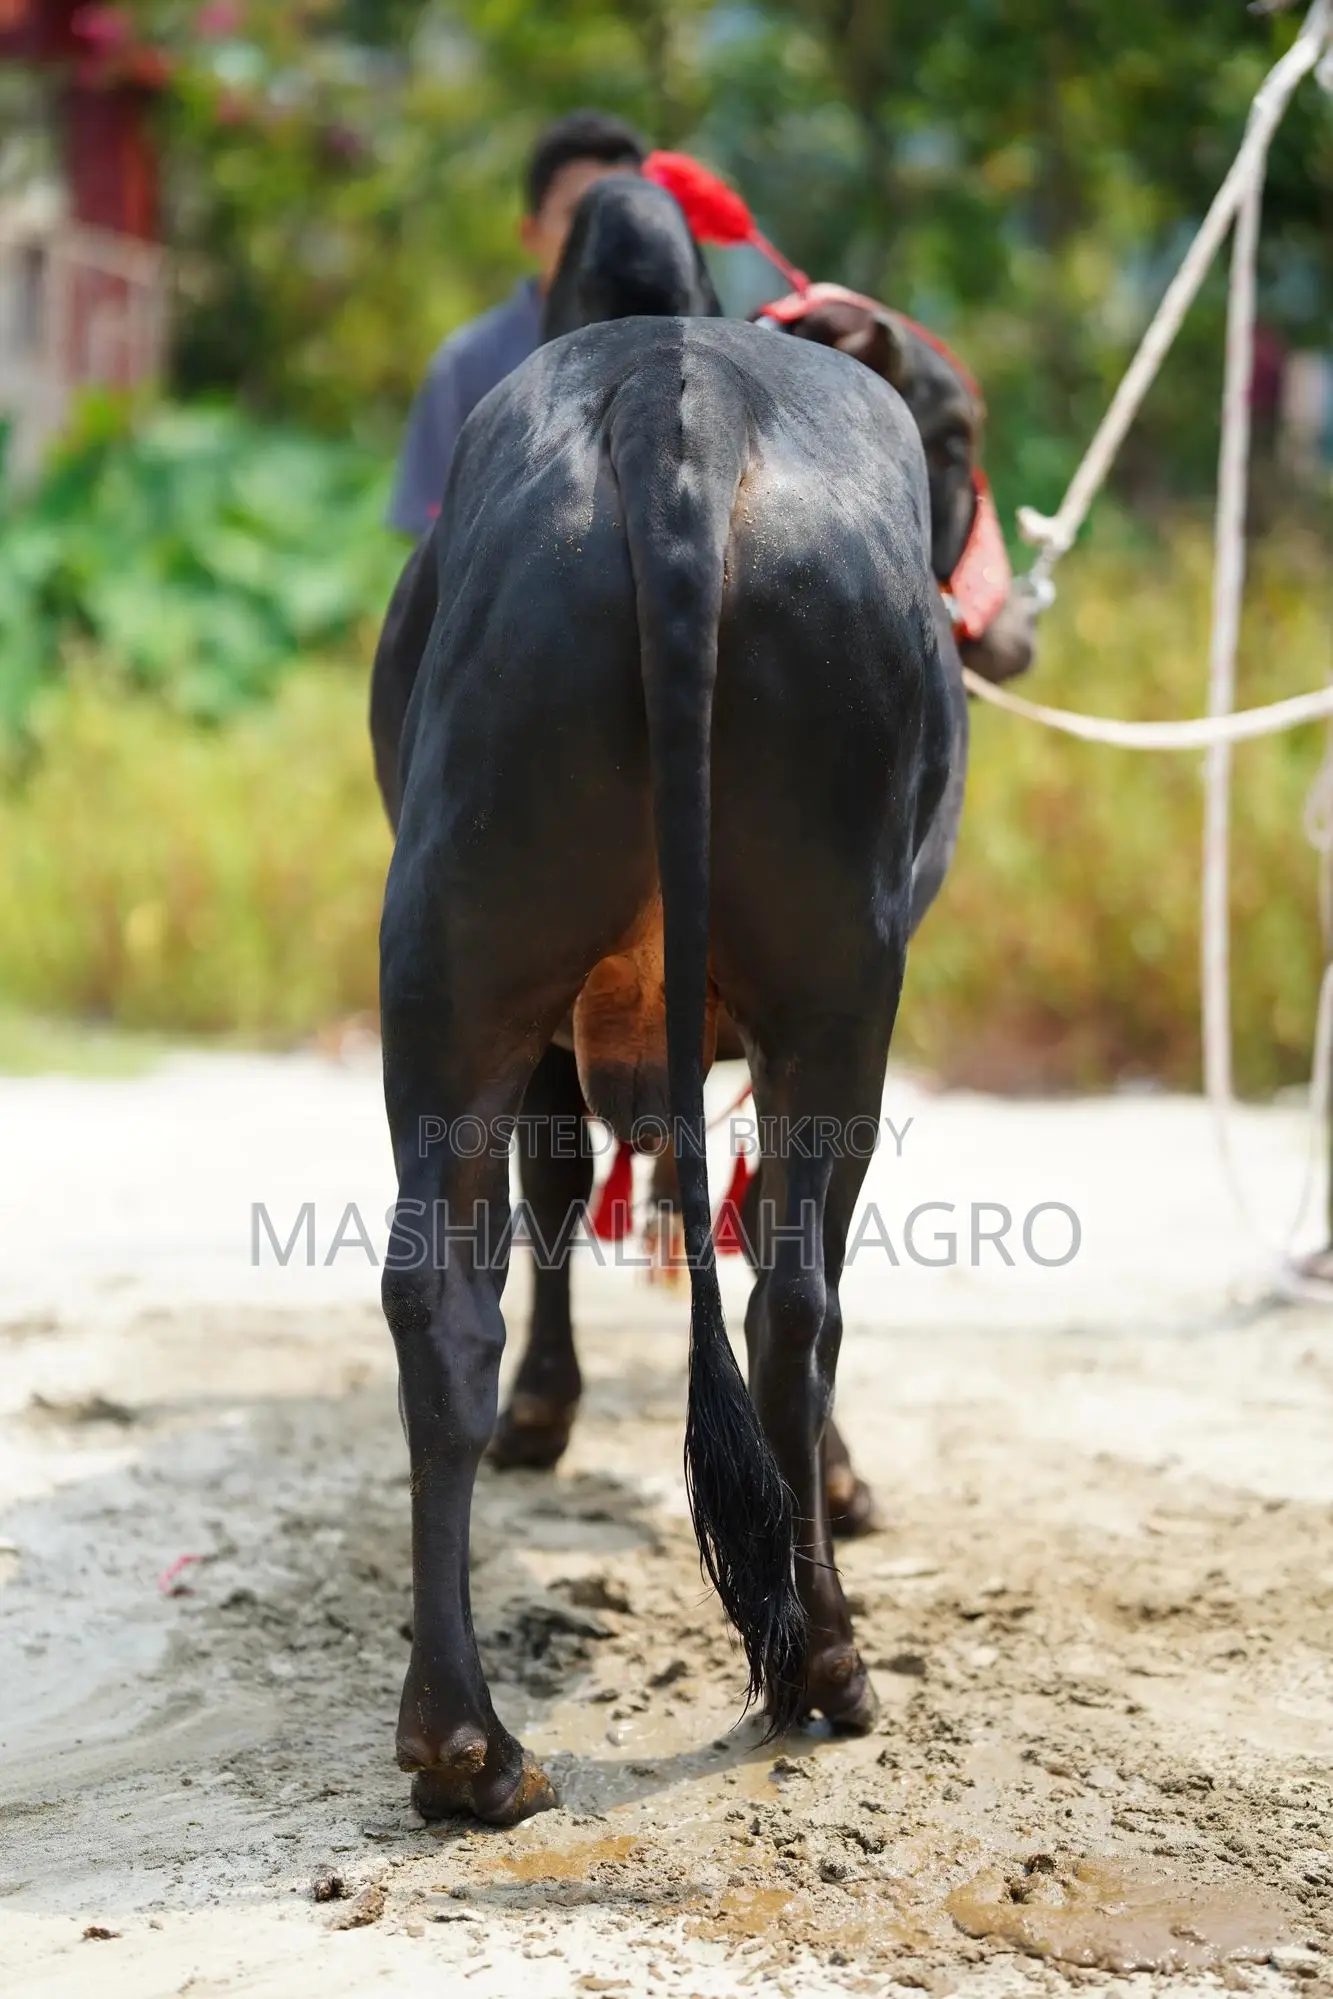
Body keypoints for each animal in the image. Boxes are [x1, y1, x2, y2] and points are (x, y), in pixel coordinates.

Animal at [374, 171, 1001, 1825]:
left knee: (437, 1295)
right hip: (840, 976)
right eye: (959, 435)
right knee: (793, 1292)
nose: (1014, 623)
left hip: (455, 946)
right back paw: (826, 1659)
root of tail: (679, 402)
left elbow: (589, 1188)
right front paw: (834, 1479)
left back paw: (465, 1740)